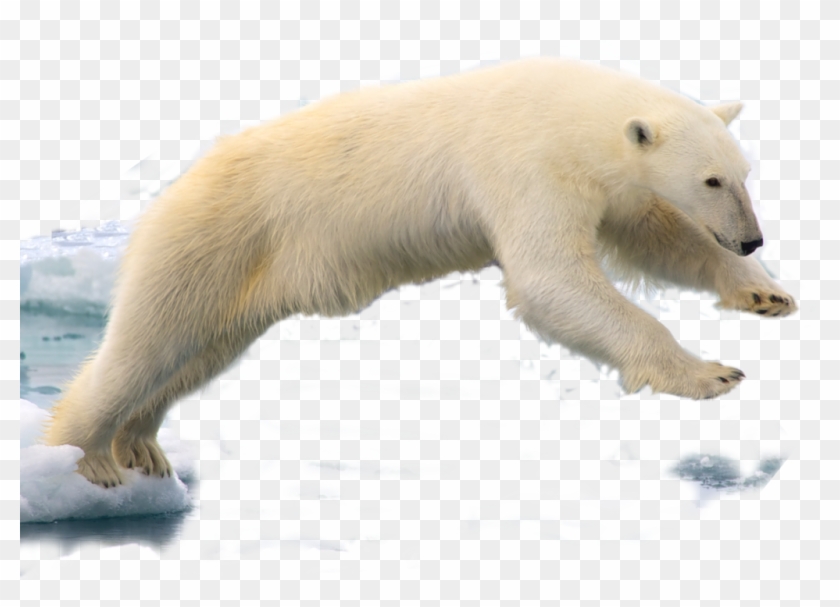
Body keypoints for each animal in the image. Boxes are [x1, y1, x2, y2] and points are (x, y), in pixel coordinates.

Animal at [44, 58, 797, 488]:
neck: (566, 111)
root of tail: (173, 191)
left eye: (743, 174)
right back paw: (86, 459)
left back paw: (142, 445)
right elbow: (550, 277)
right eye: (711, 179)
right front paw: (710, 373)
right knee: (150, 341)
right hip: (213, 237)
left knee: (197, 352)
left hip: (248, 277)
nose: (752, 237)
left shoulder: (605, 184)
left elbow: (657, 237)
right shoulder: (523, 164)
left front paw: (764, 292)